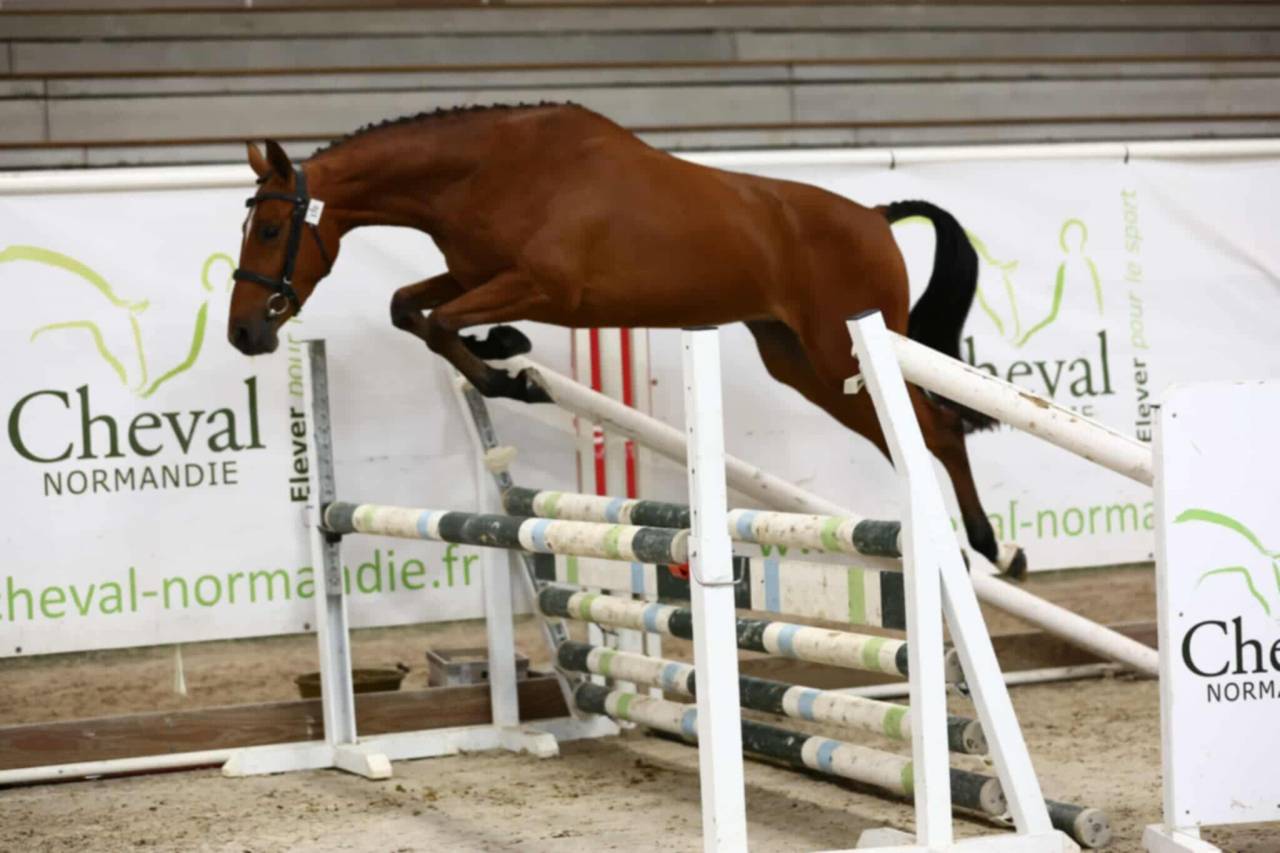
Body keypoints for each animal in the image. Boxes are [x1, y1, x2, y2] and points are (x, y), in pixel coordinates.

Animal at [229, 103, 1024, 577]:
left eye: (268, 228)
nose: (244, 333)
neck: (489, 173)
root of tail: (875, 215)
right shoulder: (472, 274)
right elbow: (410, 310)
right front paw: (507, 361)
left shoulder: (542, 288)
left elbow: (446, 324)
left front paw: (509, 366)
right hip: (802, 364)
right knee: (906, 435)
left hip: (842, 350)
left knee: (937, 429)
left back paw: (992, 547)